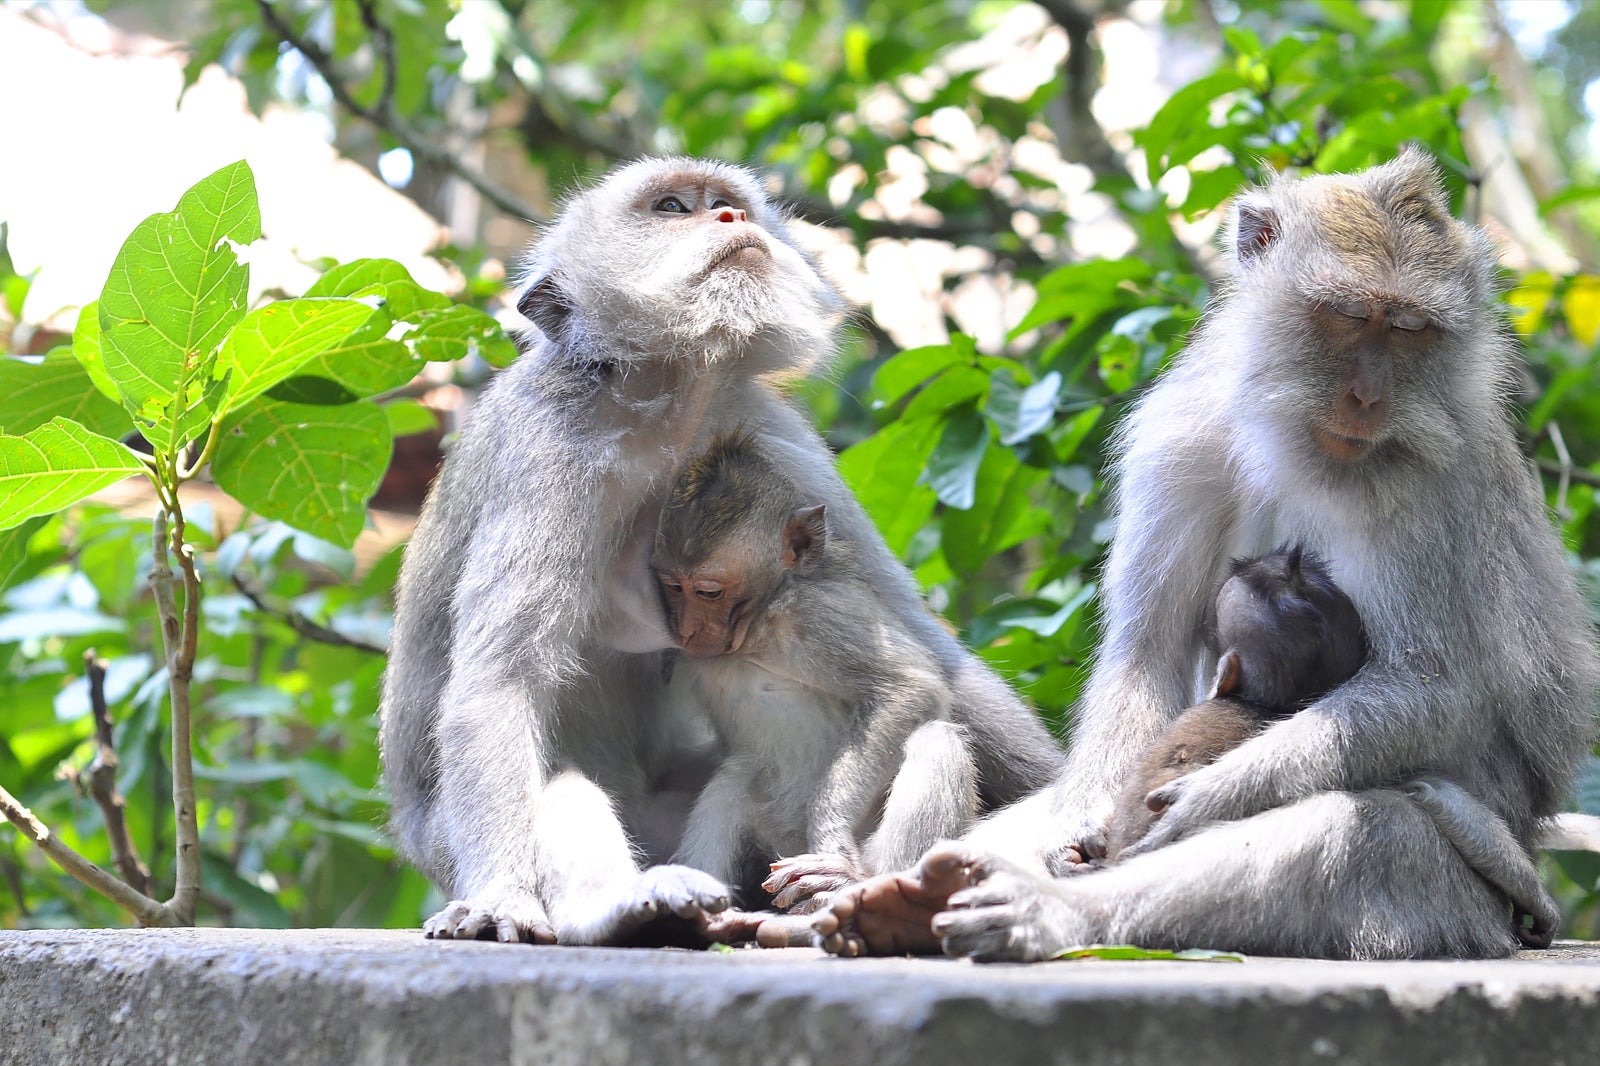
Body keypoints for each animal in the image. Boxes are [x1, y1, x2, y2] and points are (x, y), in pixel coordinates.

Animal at [649, 428, 1049, 934]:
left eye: (708, 591)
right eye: (671, 586)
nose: (685, 631)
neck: (756, 628)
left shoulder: (819, 614)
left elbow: (909, 687)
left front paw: (831, 839)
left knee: (937, 742)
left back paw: (871, 891)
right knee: (736, 777)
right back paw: (715, 917)